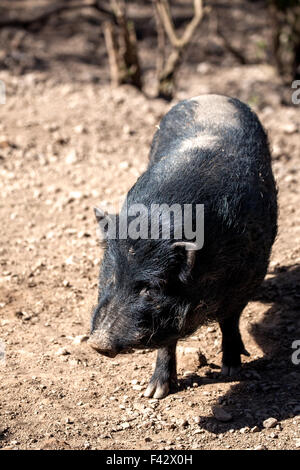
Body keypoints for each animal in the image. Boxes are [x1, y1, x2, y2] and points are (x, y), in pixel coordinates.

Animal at [88, 93, 278, 398]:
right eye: (112, 277)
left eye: (150, 288)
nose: (98, 343)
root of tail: (211, 94)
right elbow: (167, 340)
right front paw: (153, 393)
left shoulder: (250, 275)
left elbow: (230, 320)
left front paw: (232, 370)